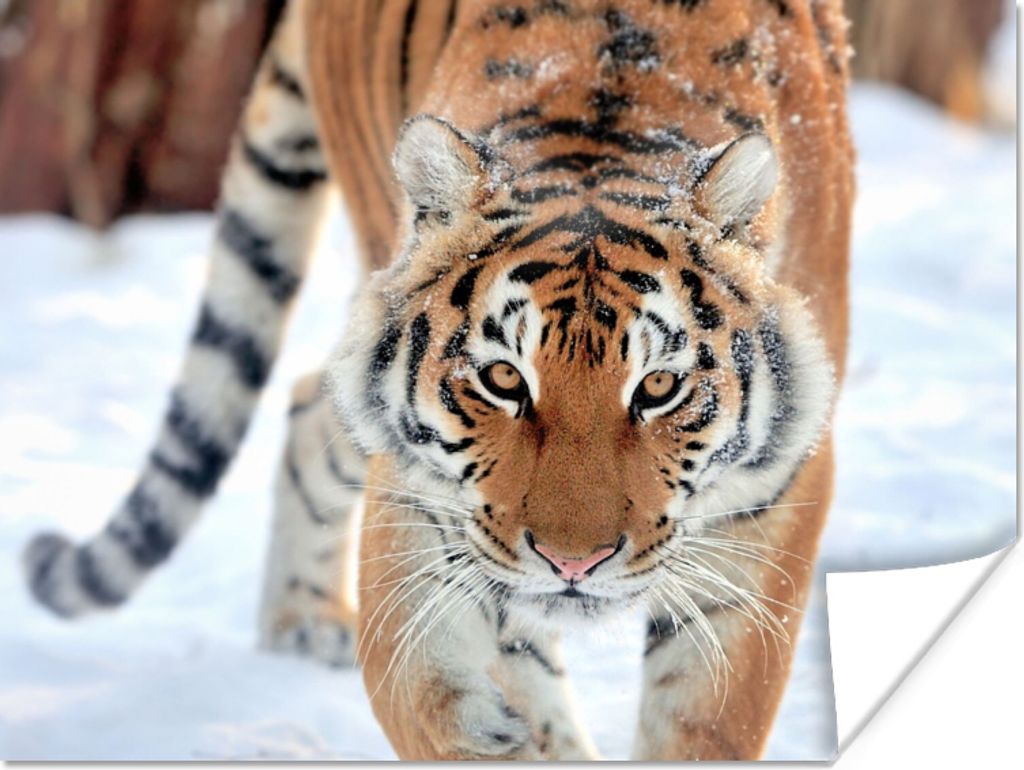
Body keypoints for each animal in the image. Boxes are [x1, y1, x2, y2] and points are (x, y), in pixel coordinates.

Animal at [22, 0, 854, 761]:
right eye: (503, 378)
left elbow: (710, 714)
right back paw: (304, 623)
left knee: (307, 403)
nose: (573, 564)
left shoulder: (779, 489)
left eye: (656, 389)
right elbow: (431, 691)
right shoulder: (422, 496)